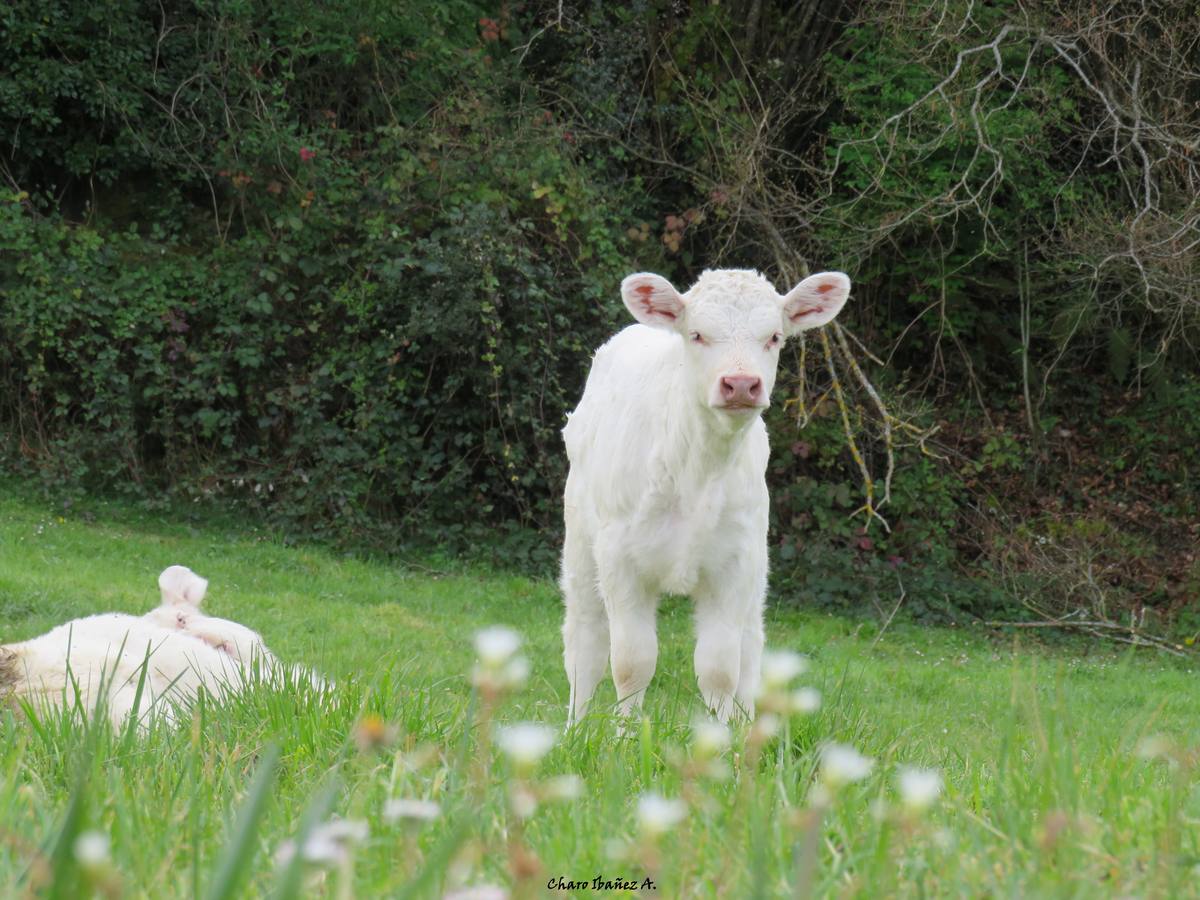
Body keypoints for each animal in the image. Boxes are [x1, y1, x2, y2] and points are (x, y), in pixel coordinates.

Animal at [561, 267, 854, 724]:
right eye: (697, 334)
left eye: (774, 337)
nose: (741, 384)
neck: (698, 471)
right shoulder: (620, 559)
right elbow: (631, 663)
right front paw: (624, 735)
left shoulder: (734, 565)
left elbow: (720, 669)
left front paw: (722, 739)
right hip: (580, 542)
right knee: (584, 642)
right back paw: (575, 728)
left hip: (756, 573)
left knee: (751, 648)